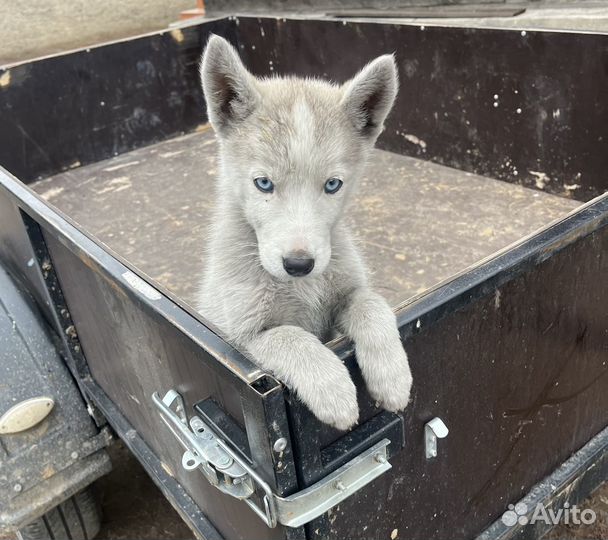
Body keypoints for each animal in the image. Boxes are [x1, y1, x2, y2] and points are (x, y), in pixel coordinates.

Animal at [200, 34, 414, 430]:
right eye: (263, 183)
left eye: (332, 185)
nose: (299, 264)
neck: (300, 288)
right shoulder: (241, 338)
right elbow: (290, 336)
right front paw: (333, 389)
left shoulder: (348, 292)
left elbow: (372, 305)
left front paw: (392, 376)